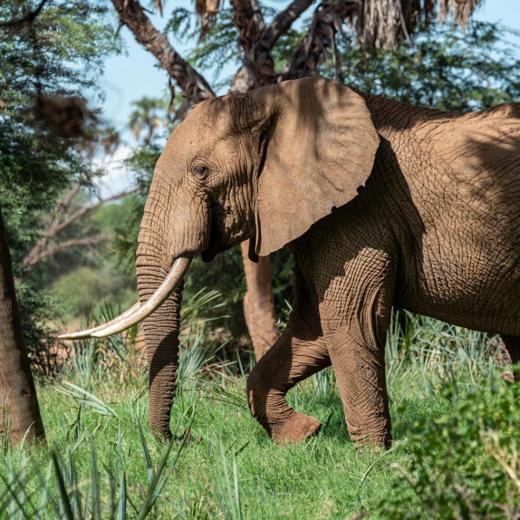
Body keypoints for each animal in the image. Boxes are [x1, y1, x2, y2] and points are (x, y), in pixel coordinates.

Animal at [63, 75, 520, 444]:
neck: (271, 100)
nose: (185, 438)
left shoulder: (361, 210)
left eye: (201, 171)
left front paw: (373, 463)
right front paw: (302, 435)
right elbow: (311, 327)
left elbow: (349, 318)